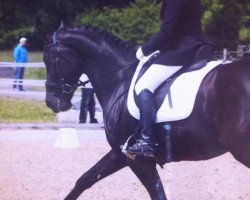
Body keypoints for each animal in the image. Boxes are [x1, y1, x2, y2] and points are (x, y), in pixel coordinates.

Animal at [43, 25, 250, 200]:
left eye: (51, 60)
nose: (51, 102)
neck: (120, 81)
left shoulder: (139, 159)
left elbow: (157, 193)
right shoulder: (121, 152)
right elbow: (85, 179)